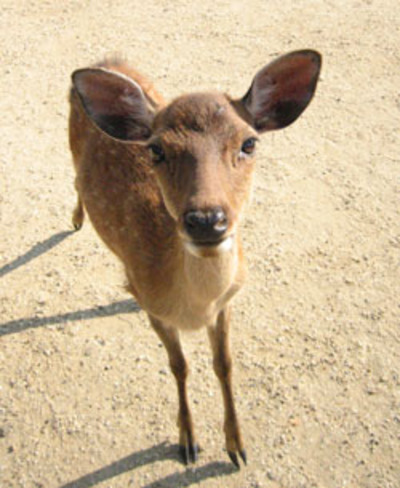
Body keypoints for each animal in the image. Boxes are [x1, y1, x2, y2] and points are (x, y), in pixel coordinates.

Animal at [69, 50, 322, 468]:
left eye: (249, 143)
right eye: (156, 149)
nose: (206, 220)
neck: (194, 305)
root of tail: (108, 58)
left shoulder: (228, 303)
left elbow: (225, 365)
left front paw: (236, 446)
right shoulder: (154, 308)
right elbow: (179, 366)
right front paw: (187, 441)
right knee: (74, 179)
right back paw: (75, 218)